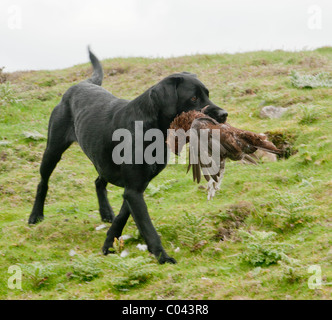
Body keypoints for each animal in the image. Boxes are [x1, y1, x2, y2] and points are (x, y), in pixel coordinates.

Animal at [28, 48, 227, 264]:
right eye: (193, 98)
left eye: (207, 94)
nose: (223, 114)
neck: (152, 128)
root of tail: (81, 84)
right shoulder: (134, 189)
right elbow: (148, 227)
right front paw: (163, 257)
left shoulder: (137, 186)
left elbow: (122, 216)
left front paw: (109, 243)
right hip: (53, 150)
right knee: (43, 183)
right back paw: (35, 216)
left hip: (101, 159)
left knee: (98, 181)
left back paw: (105, 212)